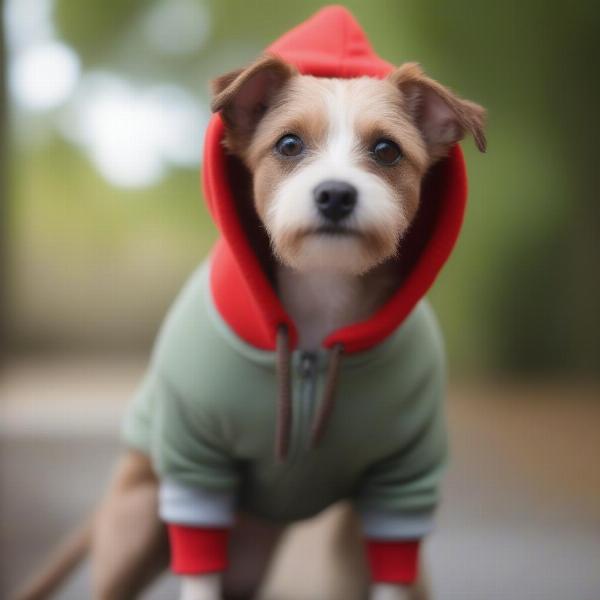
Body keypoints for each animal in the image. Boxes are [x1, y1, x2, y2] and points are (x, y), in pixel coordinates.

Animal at [14, 5, 486, 600]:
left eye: (386, 150)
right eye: (288, 145)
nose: (336, 194)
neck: (320, 303)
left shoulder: (401, 492)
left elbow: (394, 569)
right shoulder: (196, 473)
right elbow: (197, 571)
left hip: (329, 549)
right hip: (138, 520)